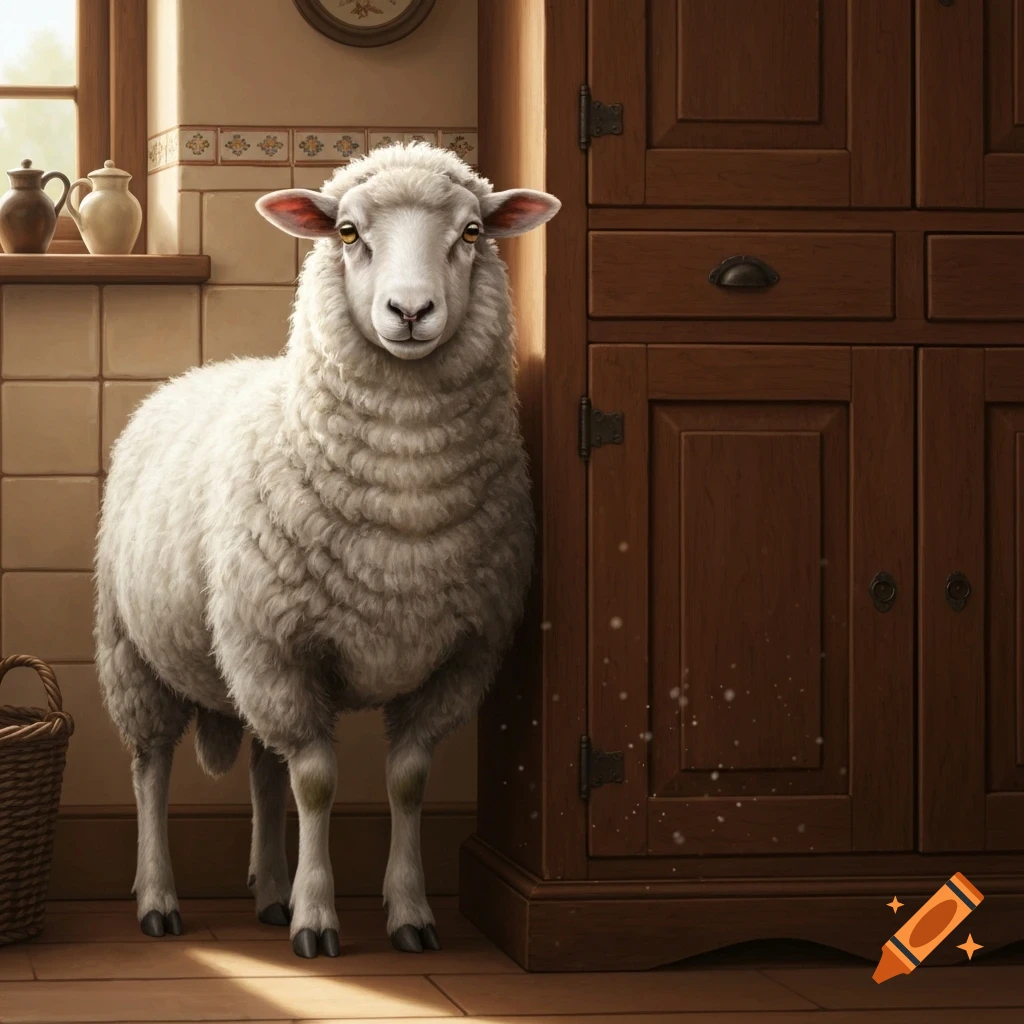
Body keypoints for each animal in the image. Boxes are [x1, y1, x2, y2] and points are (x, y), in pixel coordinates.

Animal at [94, 141, 560, 959]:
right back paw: (158, 900)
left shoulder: (458, 660)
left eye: (472, 232)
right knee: (151, 770)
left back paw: (270, 890)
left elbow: (405, 781)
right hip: (137, 653)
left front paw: (409, 914)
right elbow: (317, 783)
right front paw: (317, 919)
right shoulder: (279, 646)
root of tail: (199, 371)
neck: (405, 513)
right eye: (347, 232)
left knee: (262, 769)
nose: (411, 312)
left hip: (243, 662)